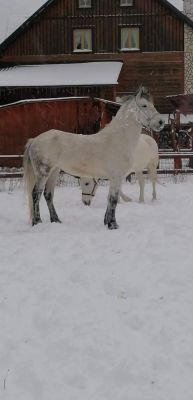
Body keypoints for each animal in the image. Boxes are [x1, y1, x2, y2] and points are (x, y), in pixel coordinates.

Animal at [23, 88, 164, 231]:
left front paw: (107, 222)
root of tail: (35, 140)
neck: (119, 139)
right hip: (43, 173)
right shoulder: (116, 177)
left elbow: (110, 199)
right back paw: (37, 222)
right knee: (35, 194)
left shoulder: (114, 178)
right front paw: (113, 225)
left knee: (48, 194)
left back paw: (56, 220)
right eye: (144, 105)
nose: (161, 122)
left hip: (54, 172)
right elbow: (113, 200)